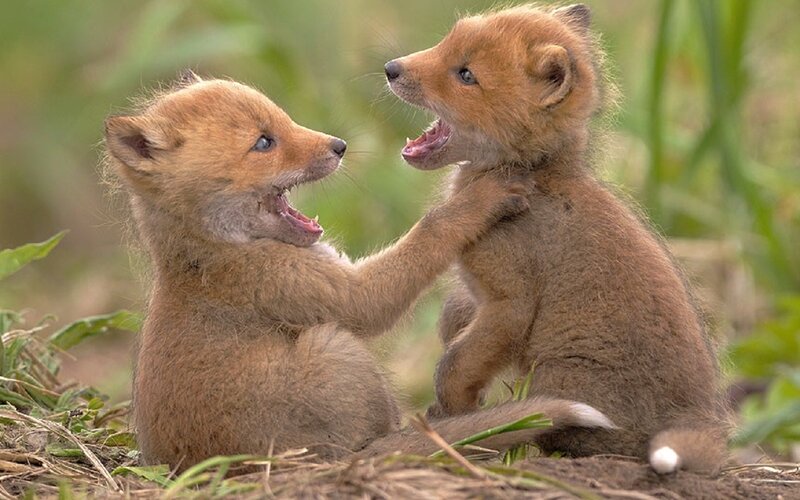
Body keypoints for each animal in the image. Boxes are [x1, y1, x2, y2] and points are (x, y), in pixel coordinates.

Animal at [103, 72, 614, 471]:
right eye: (264, 142)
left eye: (284, 119)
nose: (340, 146)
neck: (213, 250)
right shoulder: (319, 292)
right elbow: (428, 234)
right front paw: (478, 200)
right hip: (335, 349)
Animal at [385, 4, 731, 474]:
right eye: (445, 42)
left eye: (466, 74)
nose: (391, 68)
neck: (535, 179)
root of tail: (703, 421)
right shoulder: (477, 298)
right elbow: (455, 320)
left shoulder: (510, 303)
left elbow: (454, 366)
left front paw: (454, 416)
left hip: (555, 376)